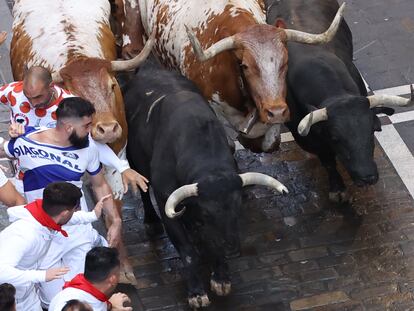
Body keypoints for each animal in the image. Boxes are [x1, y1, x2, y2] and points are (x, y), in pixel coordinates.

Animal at [126, 62, 288, 308]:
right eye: (207, 213)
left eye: (237, 208)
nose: (232, 249)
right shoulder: (167, 204)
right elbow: (187, 252)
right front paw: (196, 293)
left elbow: (212, 244)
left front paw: (221, 277)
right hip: (134, 161)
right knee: (143, 191)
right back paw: (151, 221)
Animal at [266, 0, 410, 202]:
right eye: (335, 137)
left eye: (373, 130)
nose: (367, 177)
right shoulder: (311, 139)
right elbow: (327, 161)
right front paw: (337, 188)